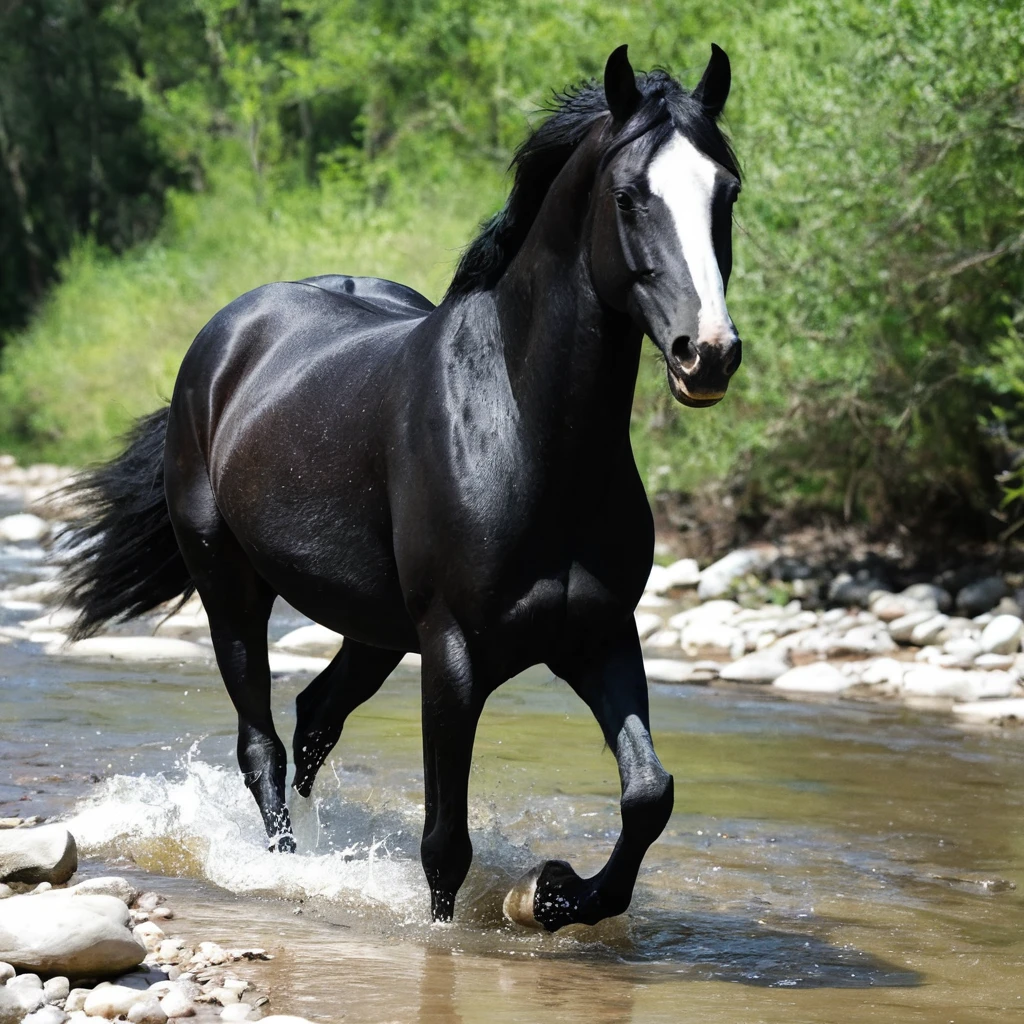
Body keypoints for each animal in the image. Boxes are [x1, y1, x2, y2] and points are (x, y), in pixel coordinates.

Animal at [61, 44, 743, 932]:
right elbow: (444, 845)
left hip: (376, 629)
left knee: (315, 720)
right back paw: (289, 869)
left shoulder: (600, 637)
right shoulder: (453, 655)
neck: (525, 432)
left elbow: (648, 795)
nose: (709, 354)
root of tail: (225, 338)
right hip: (231, 590)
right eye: (630, 197)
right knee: (262, 744)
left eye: (727, 191)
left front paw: (554, 894)